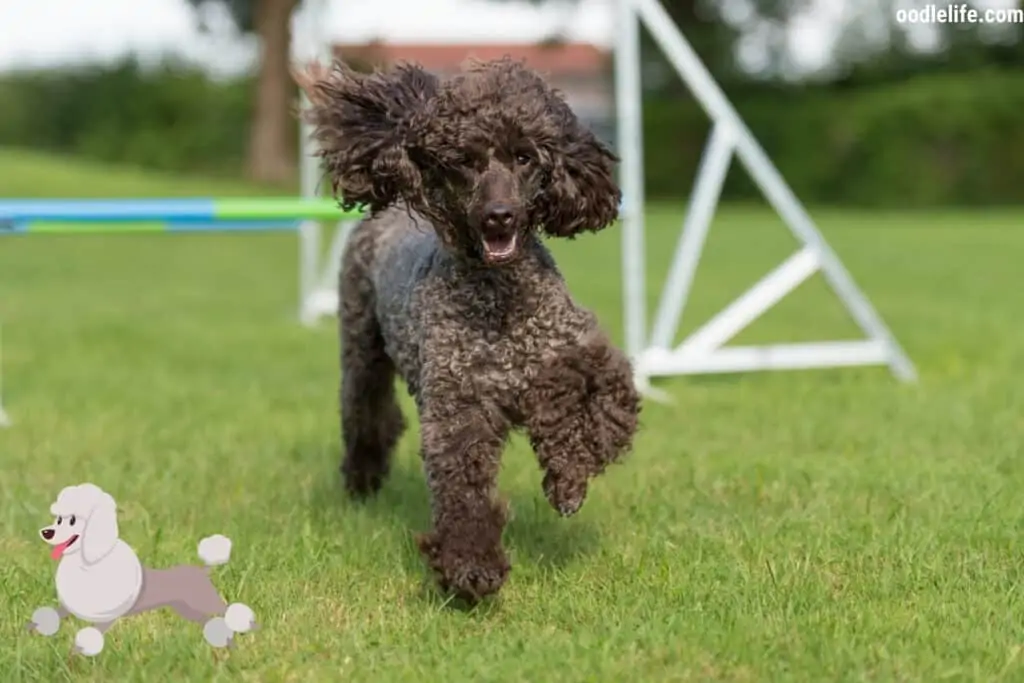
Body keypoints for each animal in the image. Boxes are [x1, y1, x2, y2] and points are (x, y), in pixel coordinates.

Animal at [299, 60, 638, 602]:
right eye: (466, 161)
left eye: (524, 157)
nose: (499, 216)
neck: (501, 301)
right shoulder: (460, 410)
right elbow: (464, 492)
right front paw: (471, 569)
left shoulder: (581, 351)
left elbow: (600, 404)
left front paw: (567, 478)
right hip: (362, 349)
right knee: (366, 415)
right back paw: (362, 482)